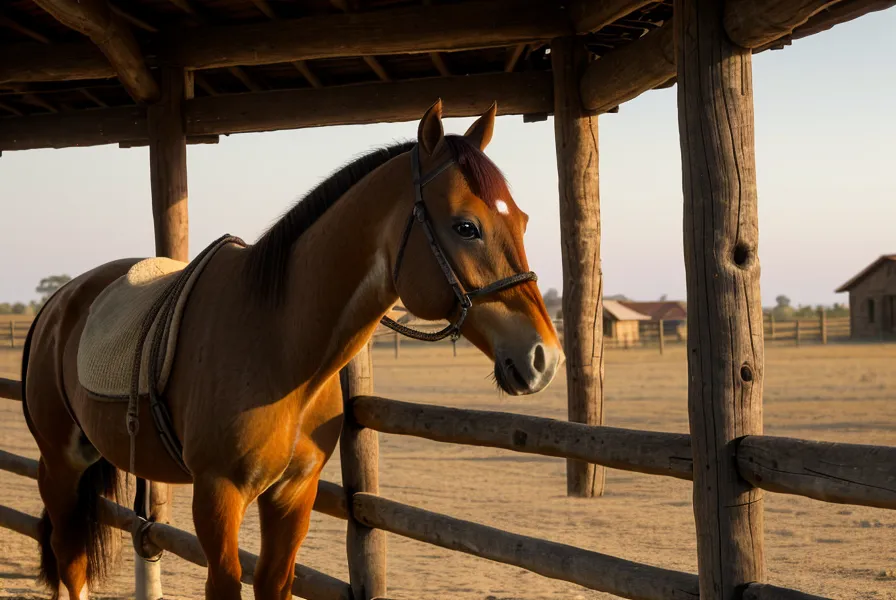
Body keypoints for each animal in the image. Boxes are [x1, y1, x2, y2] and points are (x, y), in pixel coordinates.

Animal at [21, 100, 563, 600]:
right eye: (466, 226)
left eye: (522, 220)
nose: (544, 358)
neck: (278, 343)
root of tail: (58, 302)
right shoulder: (218, 495)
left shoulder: (293, 493)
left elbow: (273, 581)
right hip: (61, 466)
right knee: (70, 562)